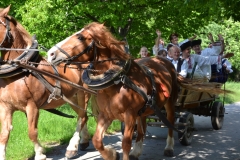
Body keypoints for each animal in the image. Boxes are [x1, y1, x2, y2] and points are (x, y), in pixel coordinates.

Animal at [0, 5, 92, 160]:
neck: (19, 70)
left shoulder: (32, 106)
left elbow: (32, 132)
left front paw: (40, 154)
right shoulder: (6, 107)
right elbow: (4, 135)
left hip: (83, 94)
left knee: (82, 116)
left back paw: (72, 148)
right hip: (71, 98)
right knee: (83, 115)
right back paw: (84, 141)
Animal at [47, 21, 227, 159]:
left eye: (80, 37)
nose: (50, 54)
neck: (117, 80)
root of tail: (166, 62)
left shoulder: (129, 115)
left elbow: (125, 143)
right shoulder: (106, 115)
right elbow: (98, 140)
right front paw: (112, 154)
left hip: (170, 103)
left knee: (170, 123)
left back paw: (169, 147)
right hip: (145, 109)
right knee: (142, 129)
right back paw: (137, 151)